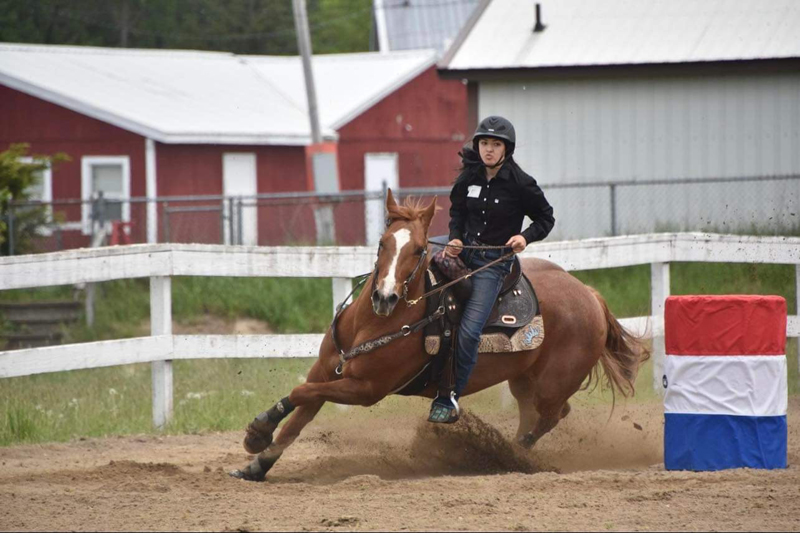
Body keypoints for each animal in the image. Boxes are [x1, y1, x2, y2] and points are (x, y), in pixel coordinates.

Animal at [230, 189, 648, 480]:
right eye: (382, 243)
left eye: (418, 250)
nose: (385, 297)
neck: (373, 323)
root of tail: (590, 295)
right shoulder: (326, 370)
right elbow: (301, 408)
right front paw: (258, 455)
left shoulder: (366, 389)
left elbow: (303, 394)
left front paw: (258, 433)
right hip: (523, 381)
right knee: (534, 416)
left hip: (552, 384)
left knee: (551, 416)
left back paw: (508, 456)